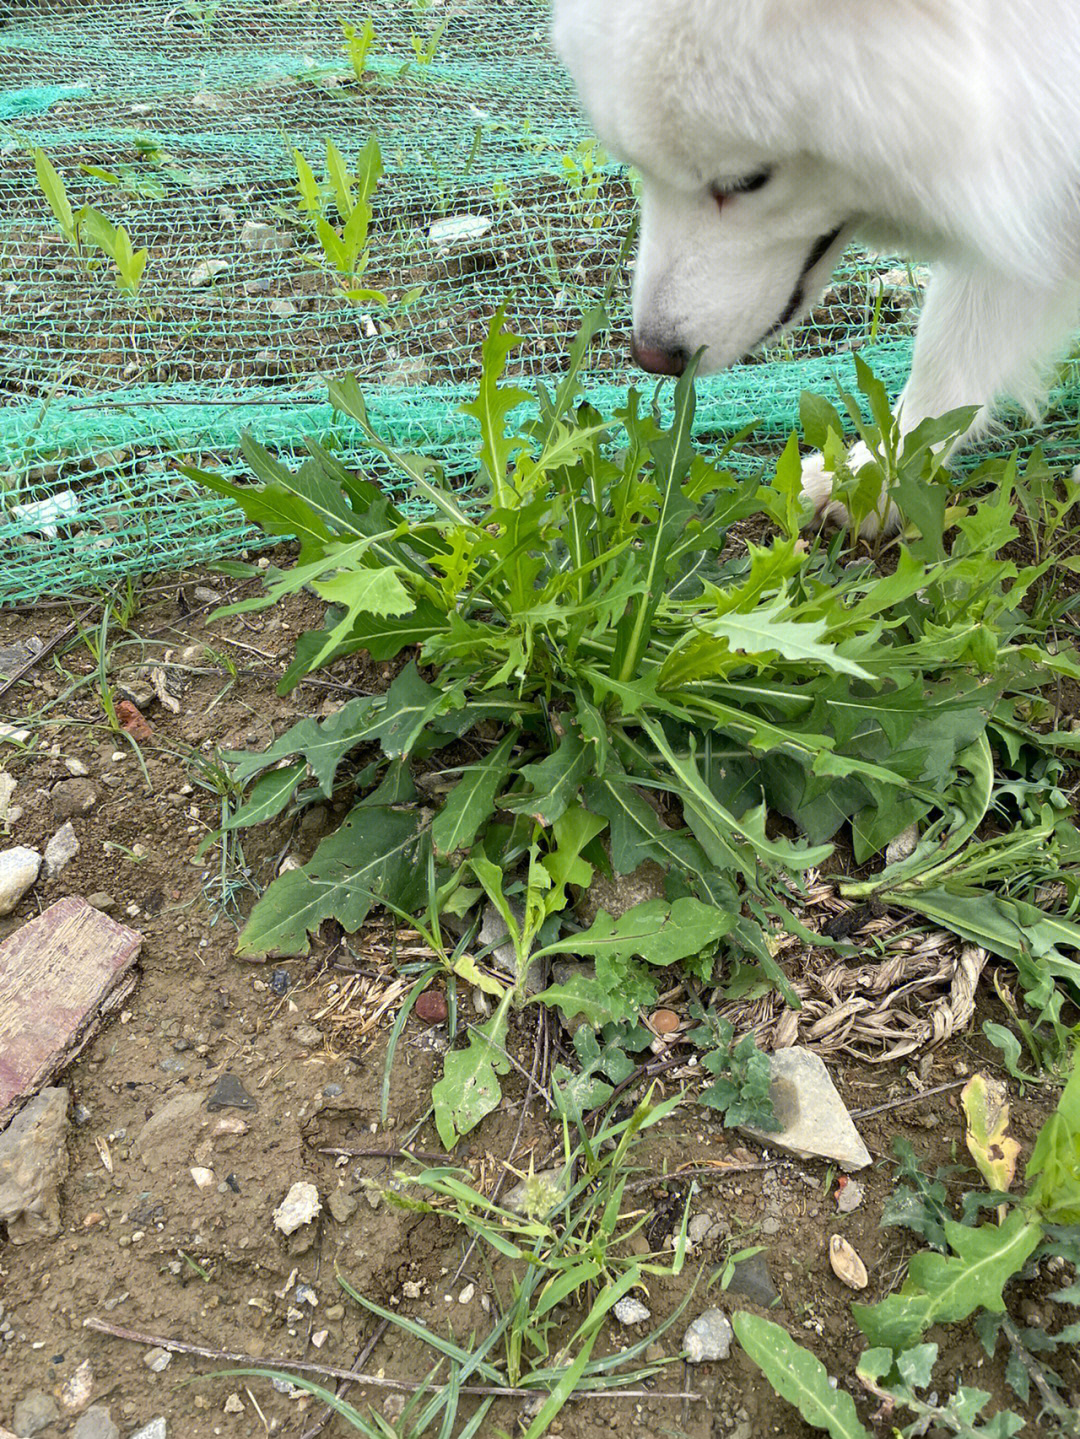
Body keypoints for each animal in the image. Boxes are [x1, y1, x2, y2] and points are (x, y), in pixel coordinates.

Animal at [552, 1, 1080, 529]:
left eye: (745, 181)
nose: (652, 358)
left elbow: (947, 344)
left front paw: (881, 479)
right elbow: (948, 355)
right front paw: (875, 478)